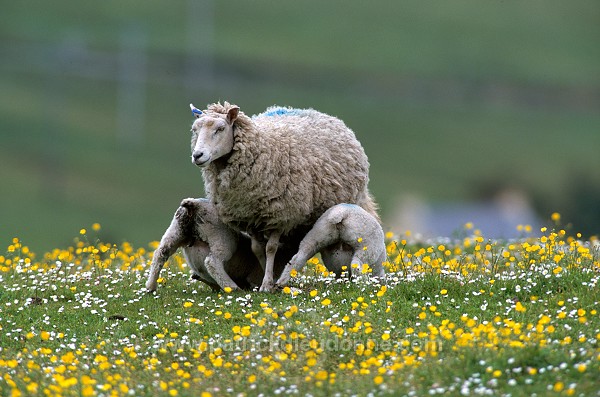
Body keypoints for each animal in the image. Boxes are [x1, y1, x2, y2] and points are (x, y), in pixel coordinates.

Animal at [190, 102, 378, 292]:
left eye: (220, 128)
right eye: (195, 130)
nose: (197, 155)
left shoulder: (281, 215)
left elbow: (271, 248)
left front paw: (268, 283)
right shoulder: (250, 217)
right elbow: (257, 249)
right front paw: (267, 279)